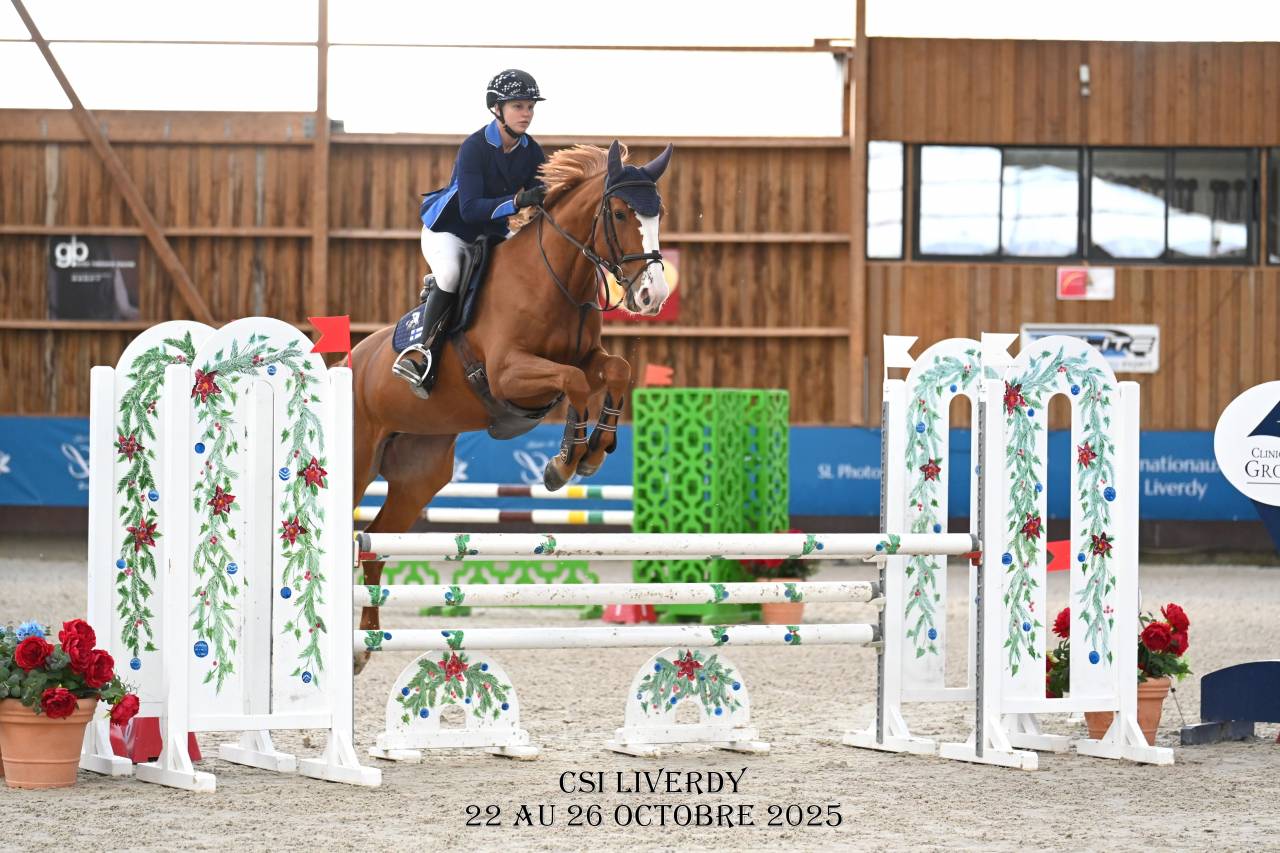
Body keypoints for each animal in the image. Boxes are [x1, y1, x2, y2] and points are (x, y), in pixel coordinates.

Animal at [350, 140, 674, 635]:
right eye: (619, 213)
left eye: (660, 214)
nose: (652, 296)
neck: (554, 278)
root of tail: (345, 361)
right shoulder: (509, 374)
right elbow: (575, 382)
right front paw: (564, 462)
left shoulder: (584, 358)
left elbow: (615, 370)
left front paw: (593, 451)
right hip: (357, 461)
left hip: (419, 472)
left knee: (376, 542)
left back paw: (366, 640)